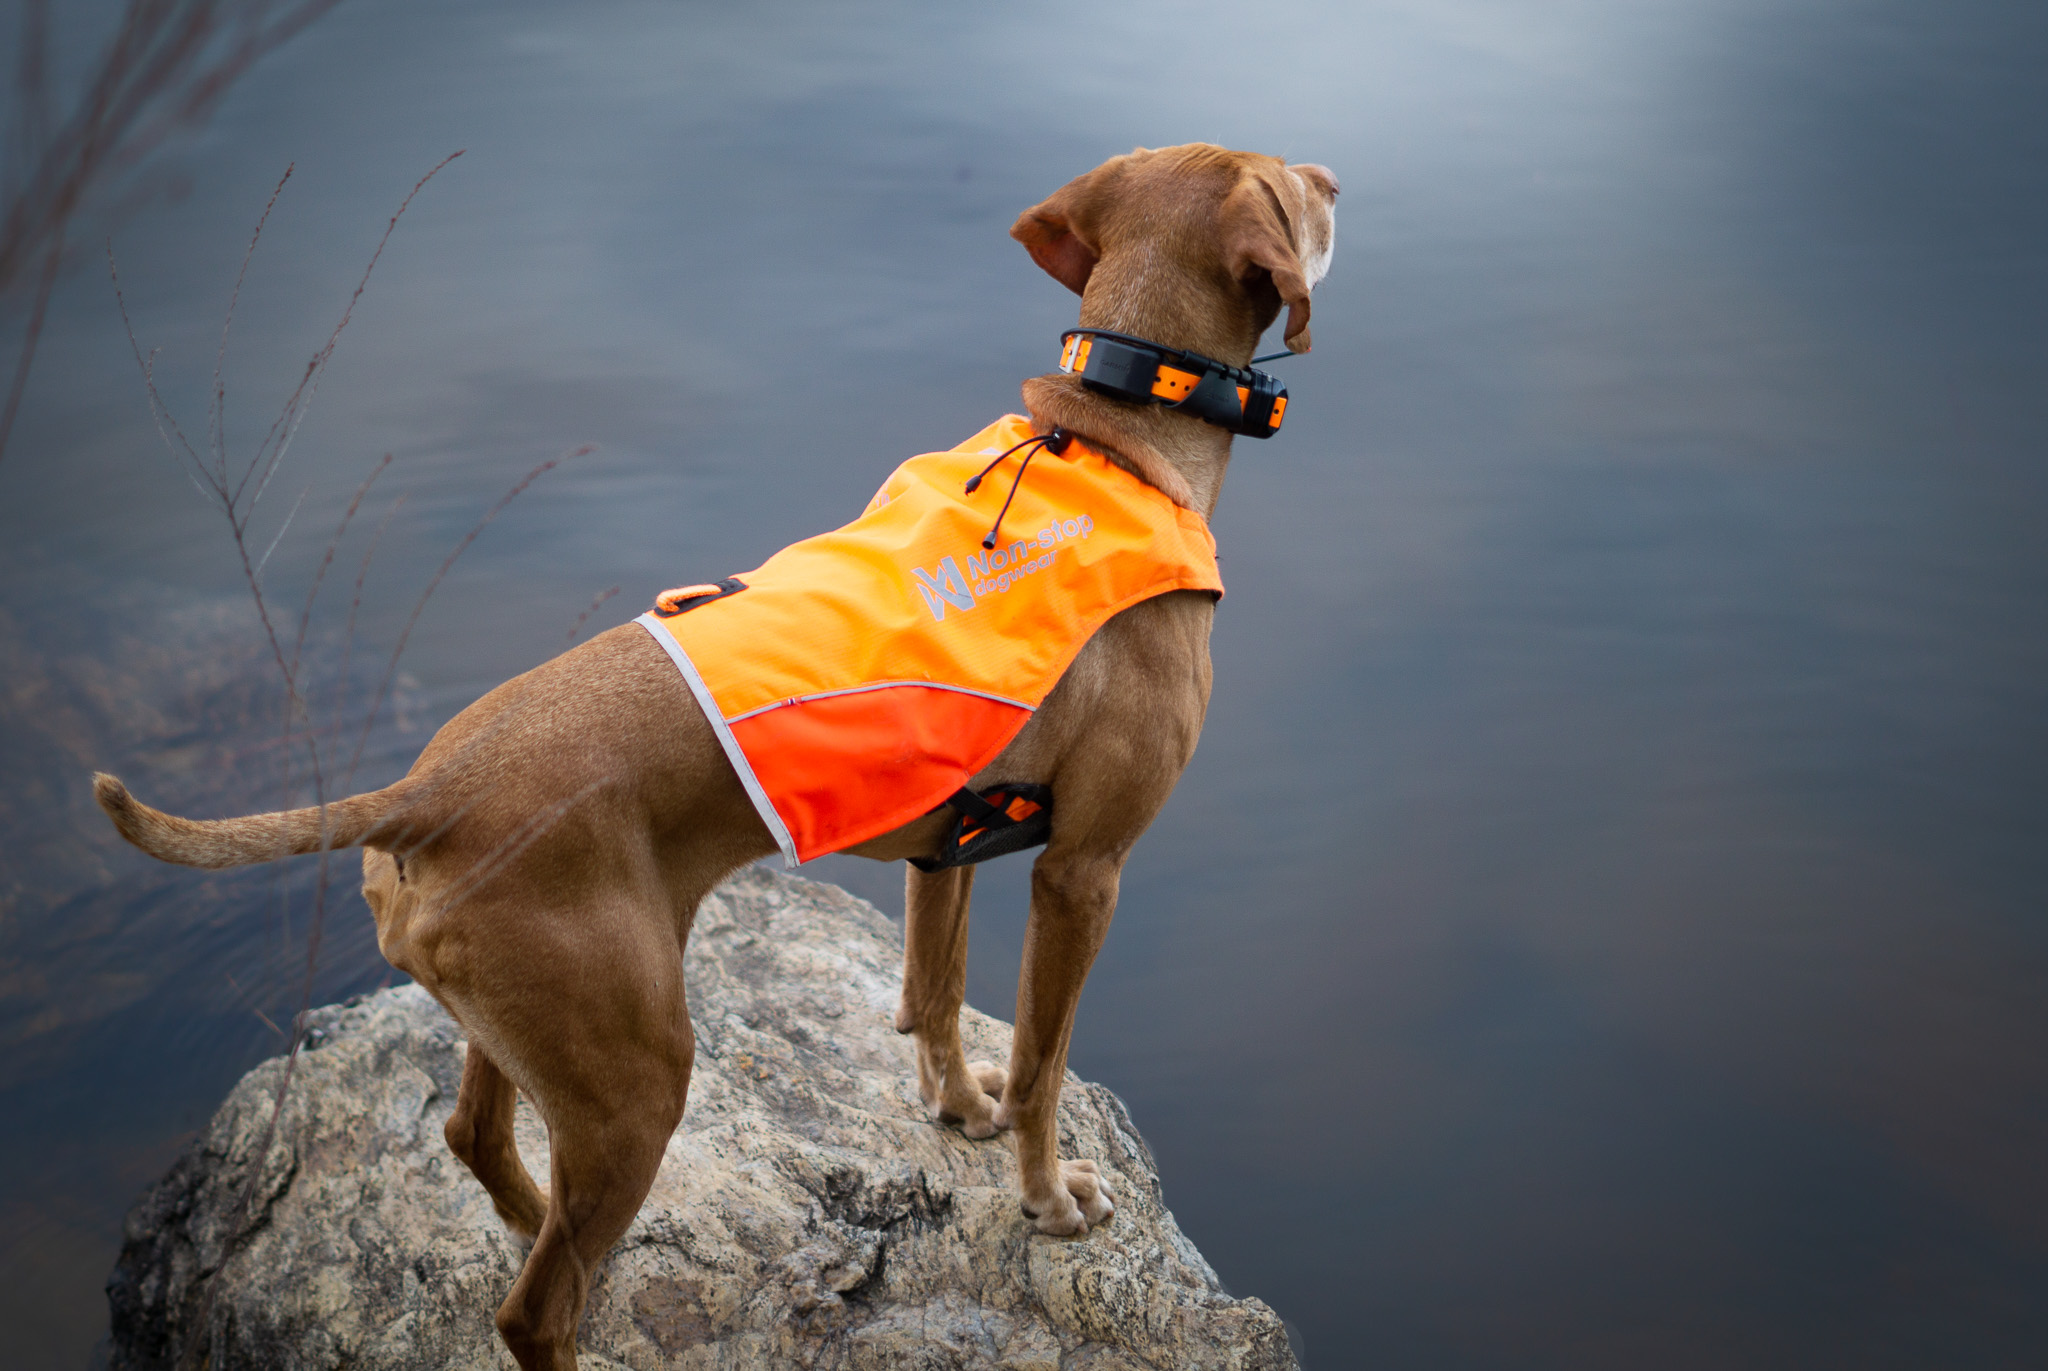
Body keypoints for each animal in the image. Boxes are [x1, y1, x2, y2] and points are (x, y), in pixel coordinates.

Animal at [96, 141, 1335, 1368]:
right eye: (1289, 183)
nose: (1331, 178)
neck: (1117, 440)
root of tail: (423, 790)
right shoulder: (1081, 872)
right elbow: (1042, 1060)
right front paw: (1045, 1198)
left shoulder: (947, 848)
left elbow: (934, 997)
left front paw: (956, 1109)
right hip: (637, 1076)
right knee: (533, 1308)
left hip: (533, 1031)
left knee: (479, 1146)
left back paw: (540, 1226)